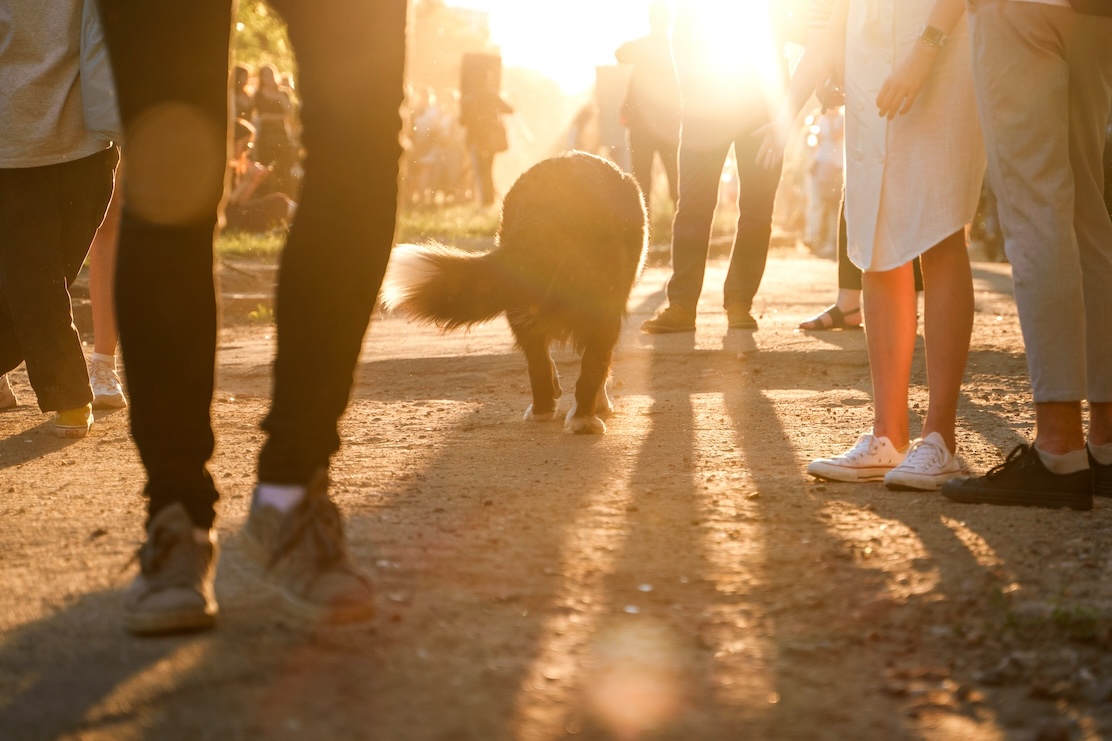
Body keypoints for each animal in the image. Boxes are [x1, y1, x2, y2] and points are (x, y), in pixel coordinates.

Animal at [382, 151, 649, 433]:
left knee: (538, 362)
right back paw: (583, 420)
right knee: (587, 365)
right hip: (601, 307)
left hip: (520, 306)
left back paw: (544, 409)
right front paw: (594, 408)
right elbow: (597, 366)